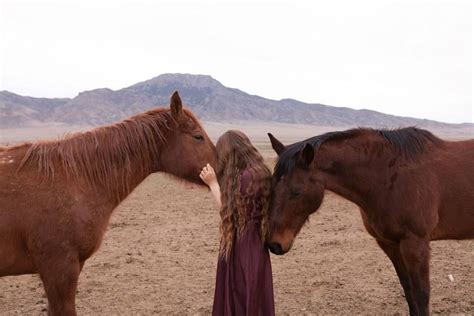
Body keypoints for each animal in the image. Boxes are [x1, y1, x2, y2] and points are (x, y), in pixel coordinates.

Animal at [266, 128, 474, 316]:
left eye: (297, 191)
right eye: (271, 187)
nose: (274, 244)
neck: (387, 177)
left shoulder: (416, 244)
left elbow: (421, 295)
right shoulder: (389, 243)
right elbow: (407, 289)